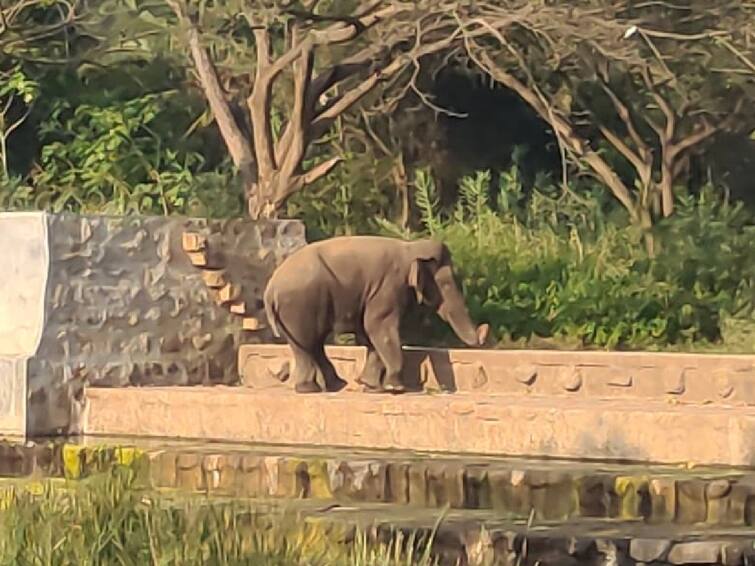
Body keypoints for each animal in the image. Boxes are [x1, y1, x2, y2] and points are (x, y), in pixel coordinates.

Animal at [264, 236, 490, 394]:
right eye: (446, 285)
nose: (484, 328)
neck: (411, 247)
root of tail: (270, 289)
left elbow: (370, 333)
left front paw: (371, 387)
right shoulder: (390, 286)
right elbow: (378, 327)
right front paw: (395, 389)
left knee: (310, 345)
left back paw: (335, 385)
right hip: (299, 305)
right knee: (308, 344)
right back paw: (313, 389)